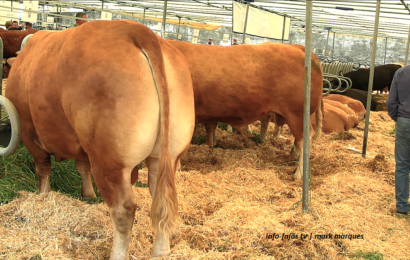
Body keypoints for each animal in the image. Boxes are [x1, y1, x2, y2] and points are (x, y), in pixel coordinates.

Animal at [3, 20, 195, 260]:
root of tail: (138, 30)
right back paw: (161, 251)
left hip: (110, 161)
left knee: (124, 209)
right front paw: (88, 193)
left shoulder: (29, 131)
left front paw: (43, 195)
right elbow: (82, 166)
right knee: (161, 199)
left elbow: (42, 168)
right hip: (164, 157)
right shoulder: (81, 143)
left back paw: (118, 254)